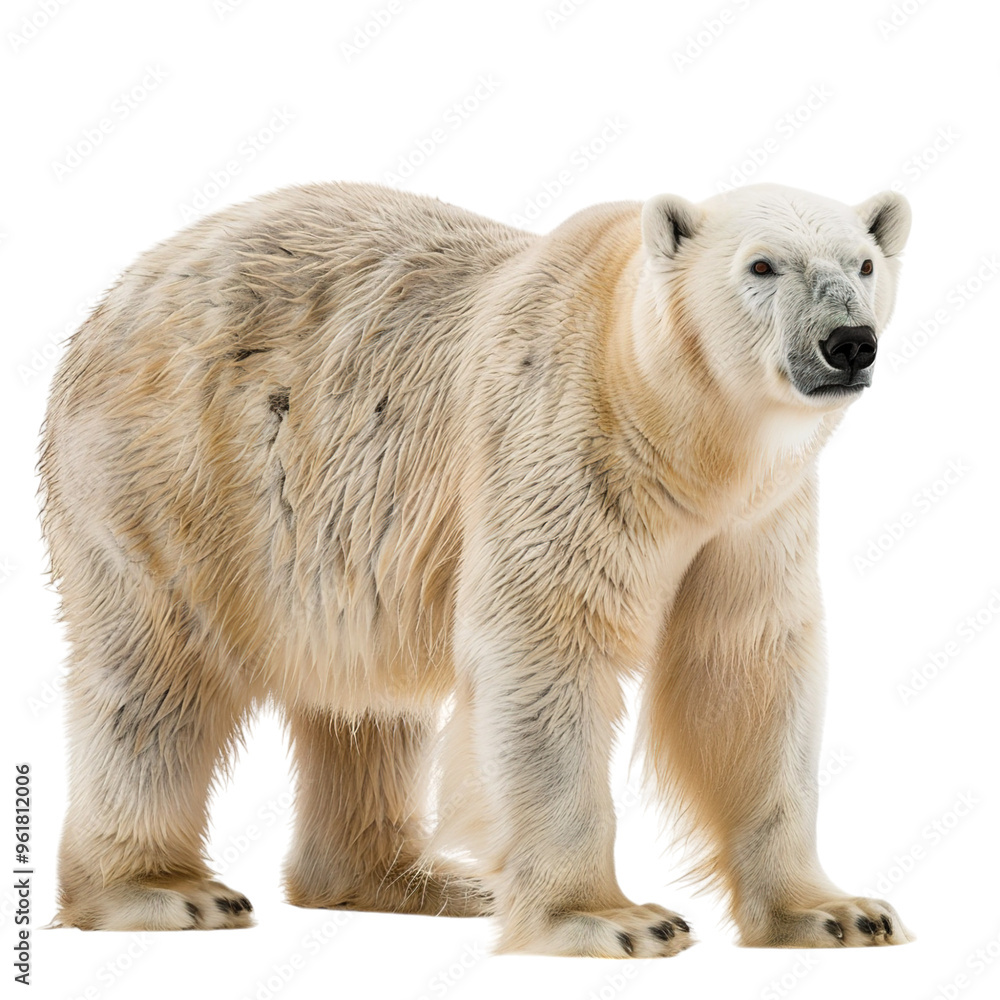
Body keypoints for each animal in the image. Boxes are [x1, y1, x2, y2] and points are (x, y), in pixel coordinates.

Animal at [38, 180, 912, 956]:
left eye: (864, 262)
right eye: (762, 265)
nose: (849, 342)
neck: (679, 433)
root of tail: (118, 291)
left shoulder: (754, 518)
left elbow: (744, 667)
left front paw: (838, 913)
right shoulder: (562, 441)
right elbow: (547, 646)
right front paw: (613, 919)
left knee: (365, 702)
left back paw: (420, 881)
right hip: (180, 470)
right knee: (155, 676)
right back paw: (166, 890)